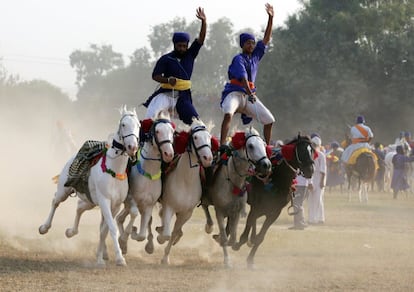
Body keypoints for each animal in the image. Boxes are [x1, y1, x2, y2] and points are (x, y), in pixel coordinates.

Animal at [39, 106, 142, 266]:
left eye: (138, 125)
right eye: (124, 124)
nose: (132, 147)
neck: (114, 171)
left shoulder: (115, 205)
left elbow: (104, 230)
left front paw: (100, 258)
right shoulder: (105, 201)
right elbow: (111, 228)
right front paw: (119, 258)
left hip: (90, 201)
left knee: (79, 207)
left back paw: (71, 231)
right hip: (64, 189)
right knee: (55, 200)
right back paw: (44, 227)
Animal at [116, 110, 175, 254]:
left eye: (172, 131)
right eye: (158, 131)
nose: (169, 154)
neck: (148, 175)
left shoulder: (149, 205)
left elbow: (142, 234)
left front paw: (135, 236)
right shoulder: (131, 199)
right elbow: (134, 214)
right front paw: (127, 235)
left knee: (120, 218)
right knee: (120, 217)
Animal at [156, 117, 217, 266]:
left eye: (209, 138)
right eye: (195, 137)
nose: (208, 158)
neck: (186, 181)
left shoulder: (186, 213)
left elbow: (173, 233)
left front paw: (165, 257)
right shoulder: (169, 206)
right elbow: (166, 234)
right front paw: (160, 239)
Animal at [201, 126, 272, 268]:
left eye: (263, 145)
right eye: (250, 146)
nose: (266, 165)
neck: (233, 182)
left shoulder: (237, 211)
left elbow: (232, 238)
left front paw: (230, 243)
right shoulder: (219, 211)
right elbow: (224, 237)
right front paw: (227, 261)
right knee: (205, 206)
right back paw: (209, 226)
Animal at [231, 134, 316, 266]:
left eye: (311, 151)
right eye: (301, 150)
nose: (310, 170)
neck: (276, 178)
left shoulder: (275, 212)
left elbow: (261, 237)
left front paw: (250, 259)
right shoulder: (257, 207)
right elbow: (248, 228)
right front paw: (237, 244)